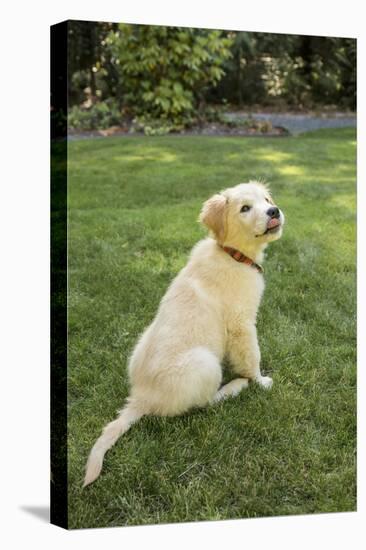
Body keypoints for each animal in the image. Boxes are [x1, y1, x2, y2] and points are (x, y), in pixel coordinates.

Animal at [84, 181, 284, 488]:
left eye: (266, 200)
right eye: (245, 208)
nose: (274, 211)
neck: (231, 253)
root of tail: (142, 397)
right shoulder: (242, 323)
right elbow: (252, 357)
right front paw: (260, 381)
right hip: (205, 363)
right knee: (204, 404)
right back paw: (235, 386)